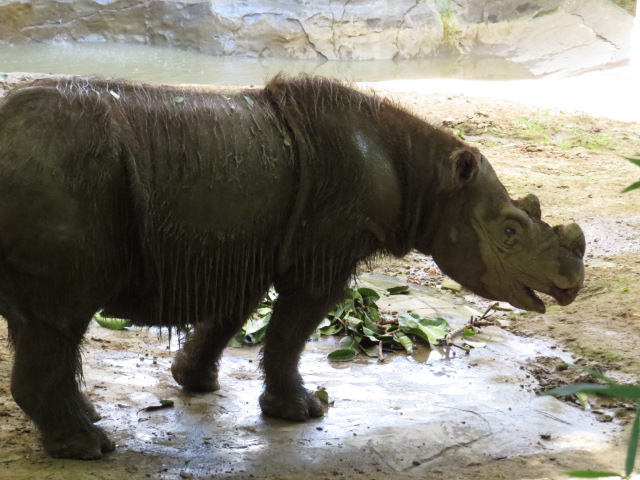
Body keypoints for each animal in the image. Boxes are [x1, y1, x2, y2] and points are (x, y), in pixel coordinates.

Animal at [0, 75, 585, 459]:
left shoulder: (240, 246)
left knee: (43, 323)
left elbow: (231, 316)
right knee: (60, 318)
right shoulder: (322, 254)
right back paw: (89, 447)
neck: (430, 178)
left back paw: (87, 424)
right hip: (61, 176)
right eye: (509, 233)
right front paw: (303, 412)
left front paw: (196, 383)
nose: (571, 284)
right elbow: (292, 329)